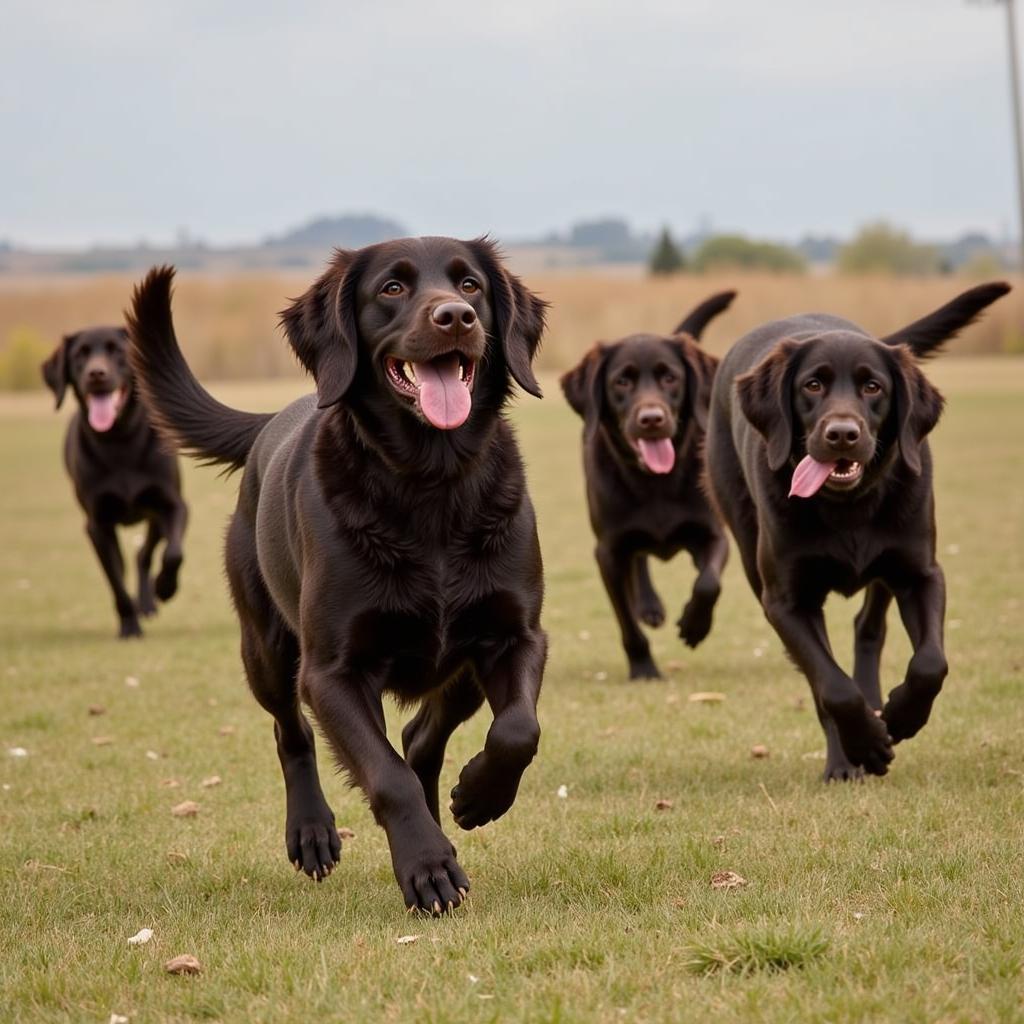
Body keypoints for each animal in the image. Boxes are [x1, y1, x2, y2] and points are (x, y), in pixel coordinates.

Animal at [41, 325, 190, 638]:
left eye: (117, 351)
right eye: (80, 355)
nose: (96, 374)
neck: (120, 440)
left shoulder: (173, 506)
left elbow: (173, 554)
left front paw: (165, 588)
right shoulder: (98, 525)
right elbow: (116, 582)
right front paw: (129, 626)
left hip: (154, 518)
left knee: (144, 554)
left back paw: (150, 600)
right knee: (125, 565)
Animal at [129, 237, 552, 913]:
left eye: (471, 285)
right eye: (392, 289)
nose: (456, 317)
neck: (430, 483)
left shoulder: (516, 635)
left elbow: (517, 729)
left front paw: (478, 796)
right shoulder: (331, 673)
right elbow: (387, 775)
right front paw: (428, 866)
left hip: (460, 669)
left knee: (420, 736)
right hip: (267, 649)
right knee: (292, 733)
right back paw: (312, 832)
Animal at [561, 292, 737, 684]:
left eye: (670, 377)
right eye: (621, 382)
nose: (652, 419)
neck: (655, 482)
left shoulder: (713, 535)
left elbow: (709, 583)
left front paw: (695, 625)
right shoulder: (608, 553)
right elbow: (627, 623)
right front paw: (643, 668)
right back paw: (649, 606)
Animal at [708, 278, 1011, 774]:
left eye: (873, 387)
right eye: (812, 385)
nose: (843, 435)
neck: (846, 506)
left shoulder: (921, 574)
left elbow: (931, 664)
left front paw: (902, 716)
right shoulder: (785, 602)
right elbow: (833, 687)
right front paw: (863, 746)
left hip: (886, 570)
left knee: (868, 629)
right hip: (750, 553)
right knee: (823, 678)